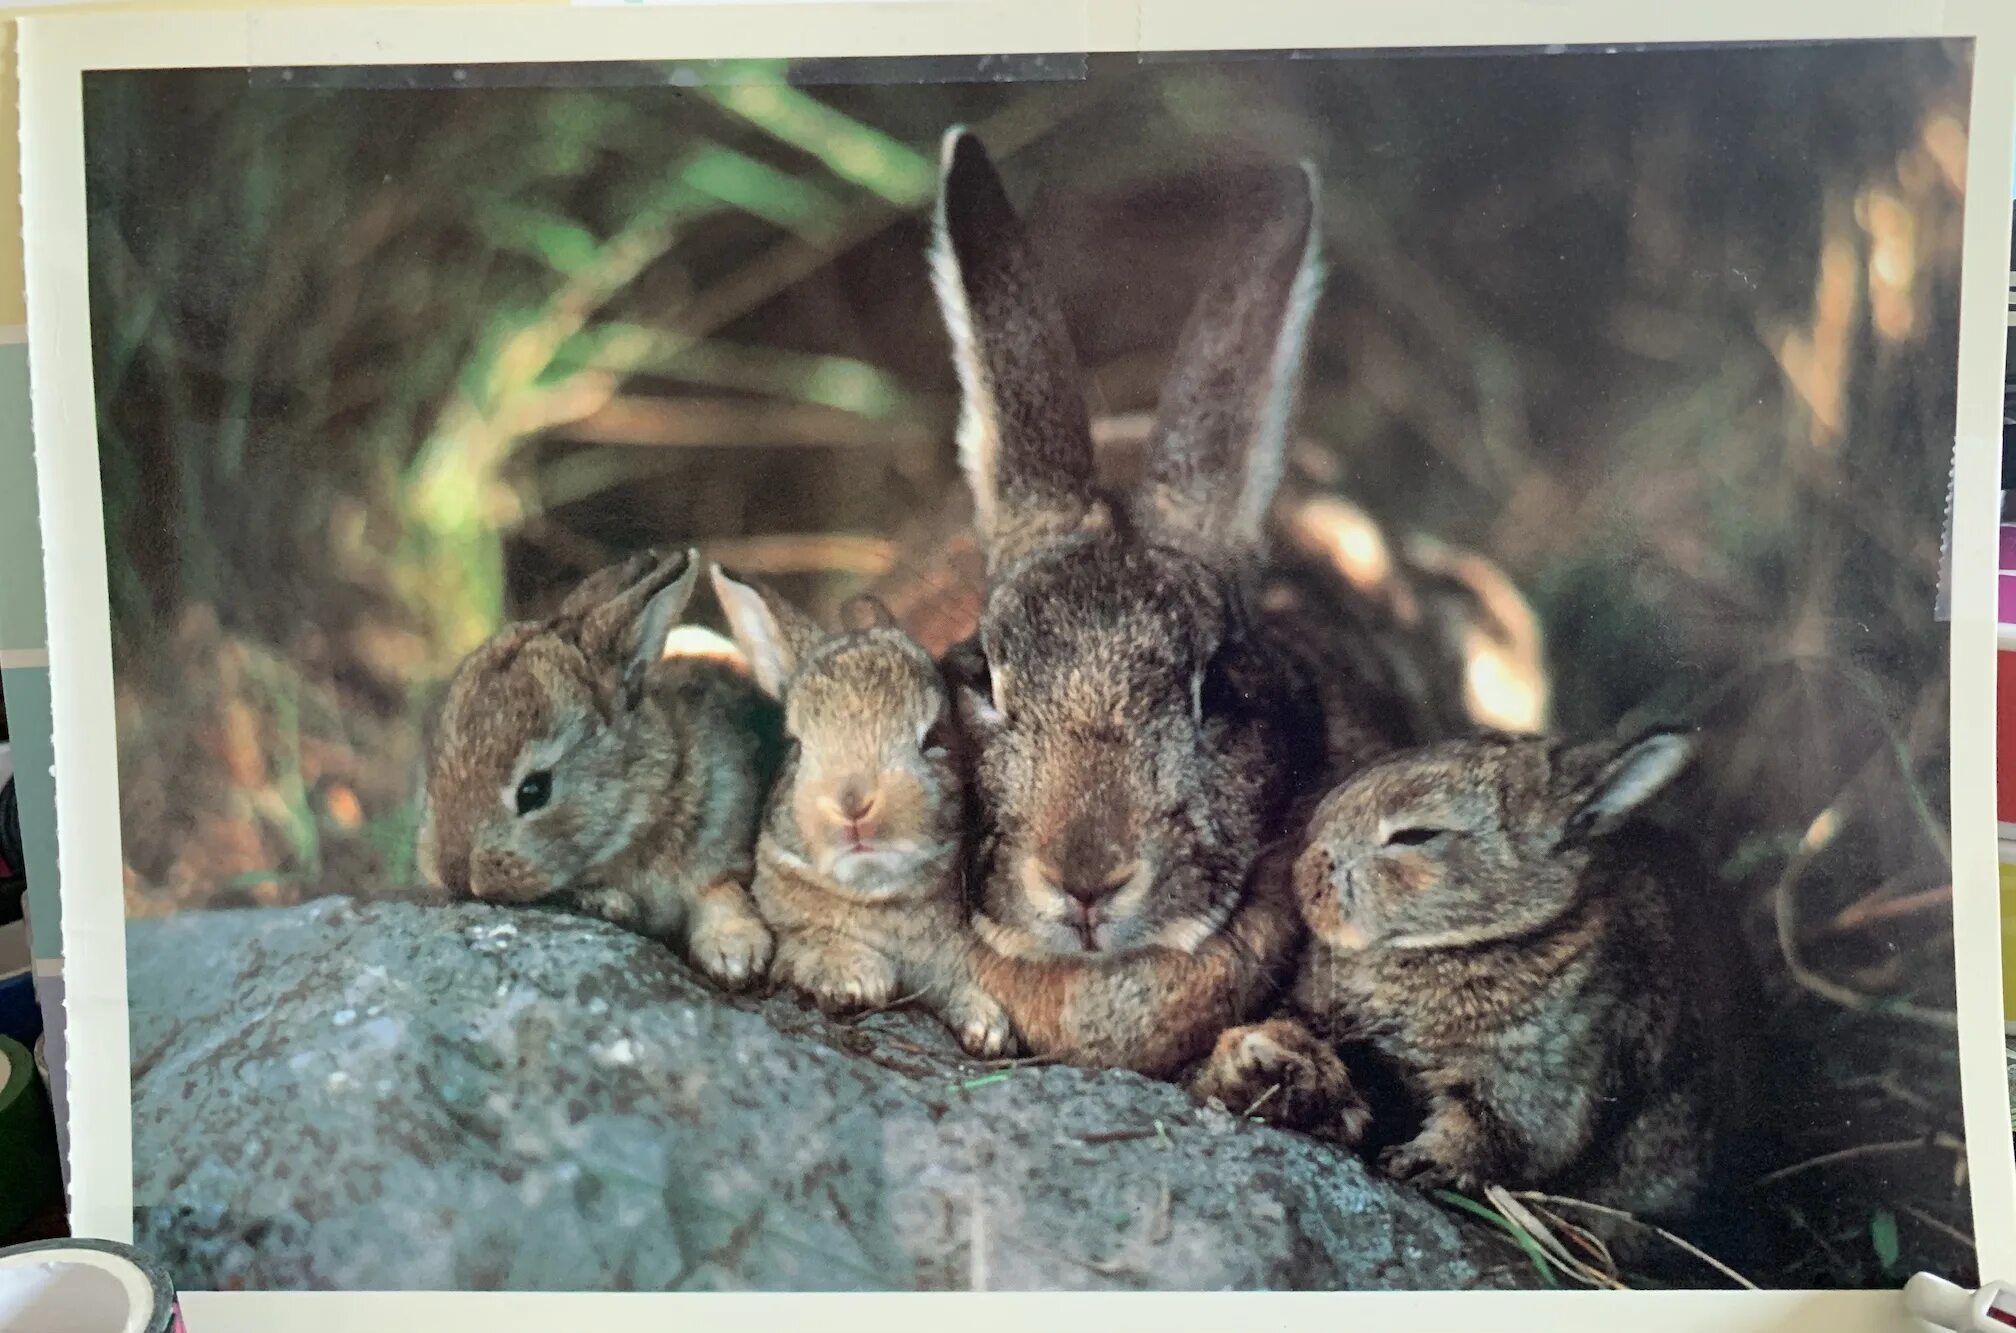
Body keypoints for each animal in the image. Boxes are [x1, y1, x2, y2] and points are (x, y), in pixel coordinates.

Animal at [413, 548, 774, 988]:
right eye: (435, 769)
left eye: (534, 791)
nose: (454, 875)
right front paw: (610, 902)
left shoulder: (725, 835)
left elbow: (722, 892)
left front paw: (736, 953)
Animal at [717, 568, 1016, 1056]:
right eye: (795, 745)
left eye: (935, 738)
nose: (852, 803)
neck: (872, 894)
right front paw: (857, 978)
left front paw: (987, 1026)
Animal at [1193, 725, 1749, 1226]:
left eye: (1417, 835)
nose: (1301, 875)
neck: (1468, 941)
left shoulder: (1541, 1074)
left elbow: (1497, 1131)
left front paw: (1418, 1162)